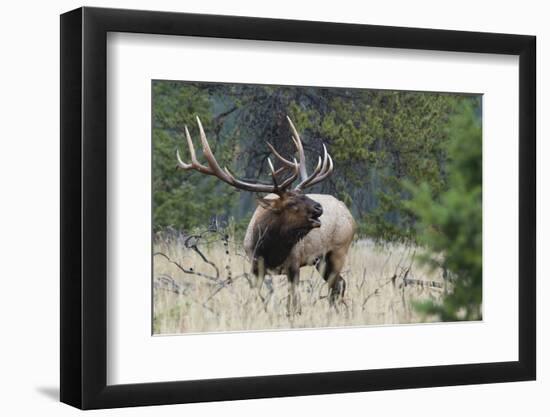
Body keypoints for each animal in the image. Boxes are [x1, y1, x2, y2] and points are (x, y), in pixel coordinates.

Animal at [178, 115, 358, 310]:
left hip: (338, 251)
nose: (319, 207)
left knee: (337, 285)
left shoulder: (294, 264)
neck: (270, 248)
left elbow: (293, 305)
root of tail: (349, 214)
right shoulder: (256, 265)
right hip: (321, 260)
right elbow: (255, 297)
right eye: (291, 203)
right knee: (339, 284)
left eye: (304, 195)